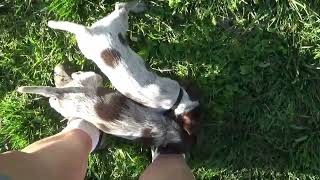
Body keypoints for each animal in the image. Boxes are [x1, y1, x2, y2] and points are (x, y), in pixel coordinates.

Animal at [47, 0, 200, 134]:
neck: (177, 100)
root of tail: (88, 32)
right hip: (117, 24)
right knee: (121, 6)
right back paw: (139, 6)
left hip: (111, 23)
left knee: (119, 6)